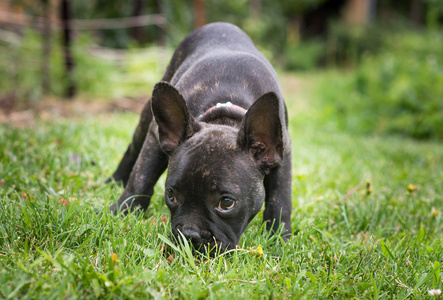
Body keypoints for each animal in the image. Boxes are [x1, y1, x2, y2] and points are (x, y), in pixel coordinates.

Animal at [109, 21, 294, 253]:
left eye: (226, 203)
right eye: (171, 194)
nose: (190, 235)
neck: (225, 114)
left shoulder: (283, 156)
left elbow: (280, 202)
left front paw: (280, 241)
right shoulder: (153, 139)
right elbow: (140, 178)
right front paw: (121, 212)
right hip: (147, 118)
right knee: (133, 150)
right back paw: (113, 181)